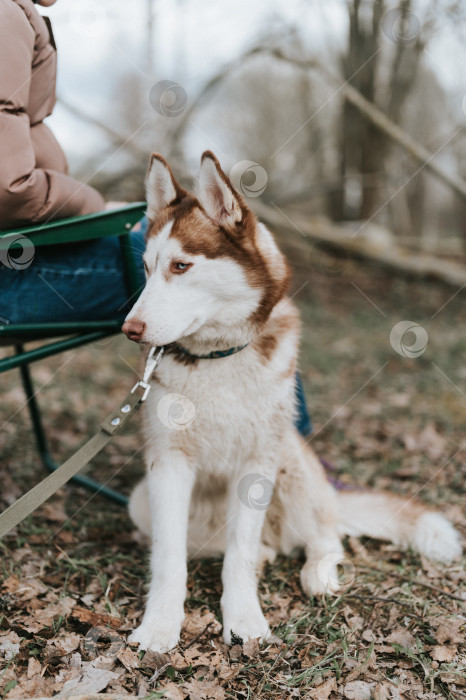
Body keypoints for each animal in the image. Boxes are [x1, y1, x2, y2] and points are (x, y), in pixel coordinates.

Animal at [121, 150, 462, 652]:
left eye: (181, 266)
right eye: (146, 268)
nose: (130, 329)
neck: (219, 357)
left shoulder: (257, 460)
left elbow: (239, 554)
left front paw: (243, 618)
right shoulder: (167, 463)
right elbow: (170, 557)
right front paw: (160, 625)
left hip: (291, 460)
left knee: (325, 537)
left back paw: (317, 571)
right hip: (139, 501)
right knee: (238, 545)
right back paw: (268, 553)